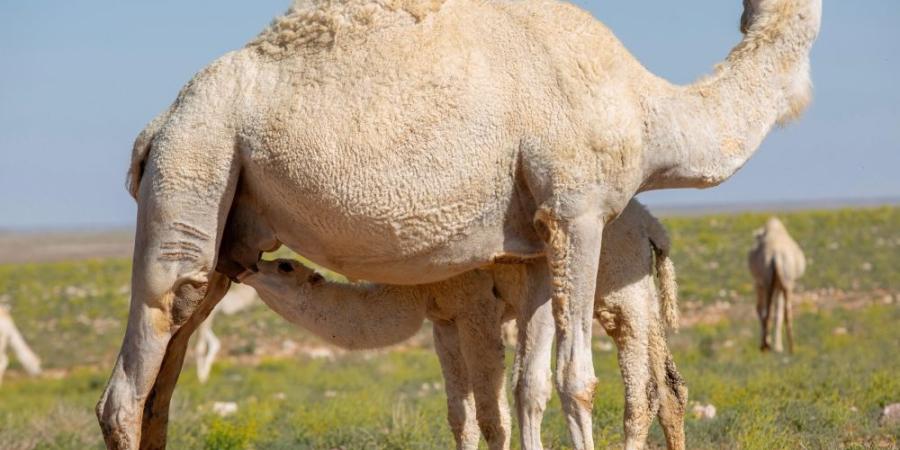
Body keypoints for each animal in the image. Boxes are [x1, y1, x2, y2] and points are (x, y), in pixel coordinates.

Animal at [243, 200, 684, 450]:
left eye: (285, 266)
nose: (250, 267)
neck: (414, 288)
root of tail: (653, 228)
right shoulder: (444, 322)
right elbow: (461, 419)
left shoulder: (476, 307)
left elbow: (493, 416)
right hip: (638, 286)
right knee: (670, 384)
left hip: (619, 289)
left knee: (640, 388)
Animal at [744, 216, 808, 354]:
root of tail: (776, 255)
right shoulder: (777, 283)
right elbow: (777, 311)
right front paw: (776, 346)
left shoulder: (760, 283)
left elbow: (761, 309)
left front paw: (769, 344)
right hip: (787, 282)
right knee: (785, 311)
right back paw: (791, 347)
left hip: (769, 281)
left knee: (767, 310)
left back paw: (766, 345)